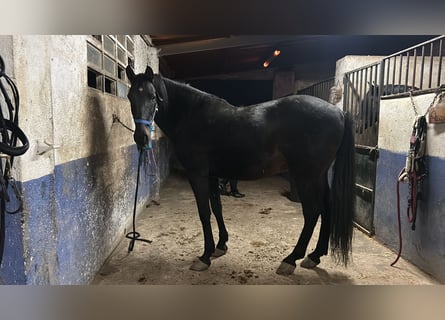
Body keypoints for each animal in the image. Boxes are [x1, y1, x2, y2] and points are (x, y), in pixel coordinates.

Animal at [126, 65, 356, 276]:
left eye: (153, 97)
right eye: (130, 97)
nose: (141, 138)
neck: (191, 116)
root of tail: (338, 111)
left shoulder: (198, 174)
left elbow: (204, 212)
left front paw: (204, 256)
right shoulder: (212, 175)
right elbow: (217, 208)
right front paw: (221, 245)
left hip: (305, 176)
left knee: (312, 212)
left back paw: (290, 260)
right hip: (318, 175)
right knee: (326, 208)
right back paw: (314, 256)